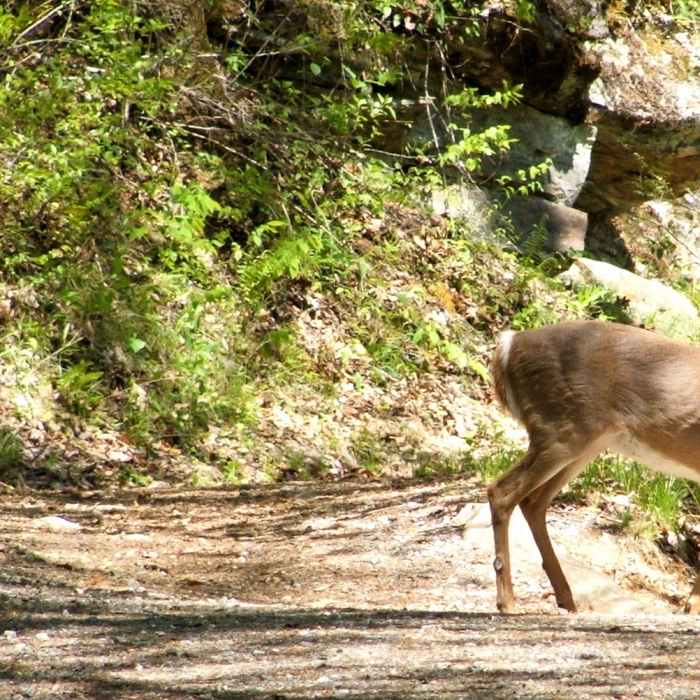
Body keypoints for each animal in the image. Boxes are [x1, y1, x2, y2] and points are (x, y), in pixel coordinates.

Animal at [488, 319, 700, 614]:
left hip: (584, 442)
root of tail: (509, 343)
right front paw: (692, 607)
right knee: (501, 491)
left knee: (532, 501)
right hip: (562, 430)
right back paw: (508, 602)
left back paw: (565, 598)